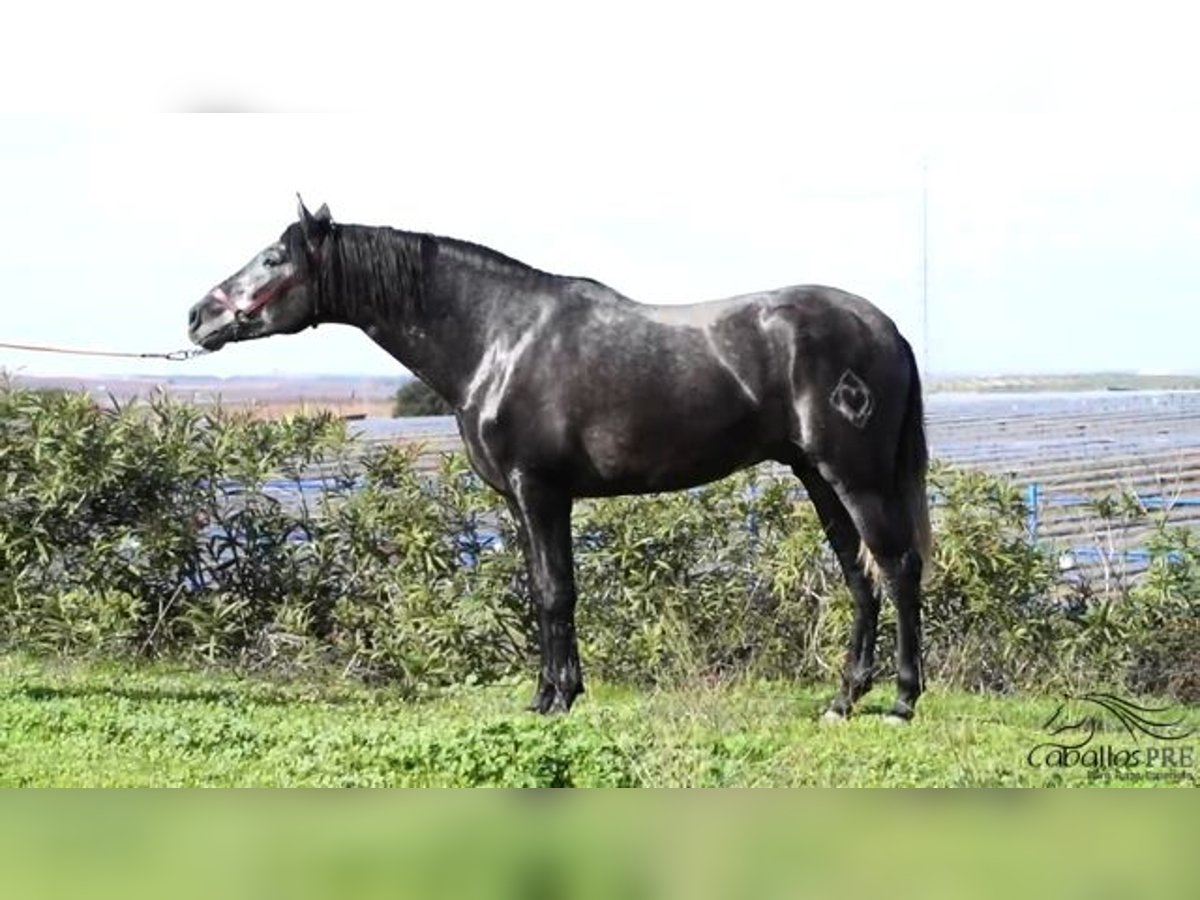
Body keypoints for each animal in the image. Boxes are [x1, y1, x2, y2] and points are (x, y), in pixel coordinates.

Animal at [189, 200, 936, 724]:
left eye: (273, 259)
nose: (199, 316)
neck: (499, 338)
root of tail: (888, 329)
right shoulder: (523, 501)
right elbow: (540, 590)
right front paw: (547, 692)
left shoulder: (541, 490)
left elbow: (556, 593)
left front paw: (560, 699)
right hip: (816, 476)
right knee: (860, 575)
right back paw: (843, 699)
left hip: (856, 476)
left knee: (896, 567)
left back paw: (902, 701)